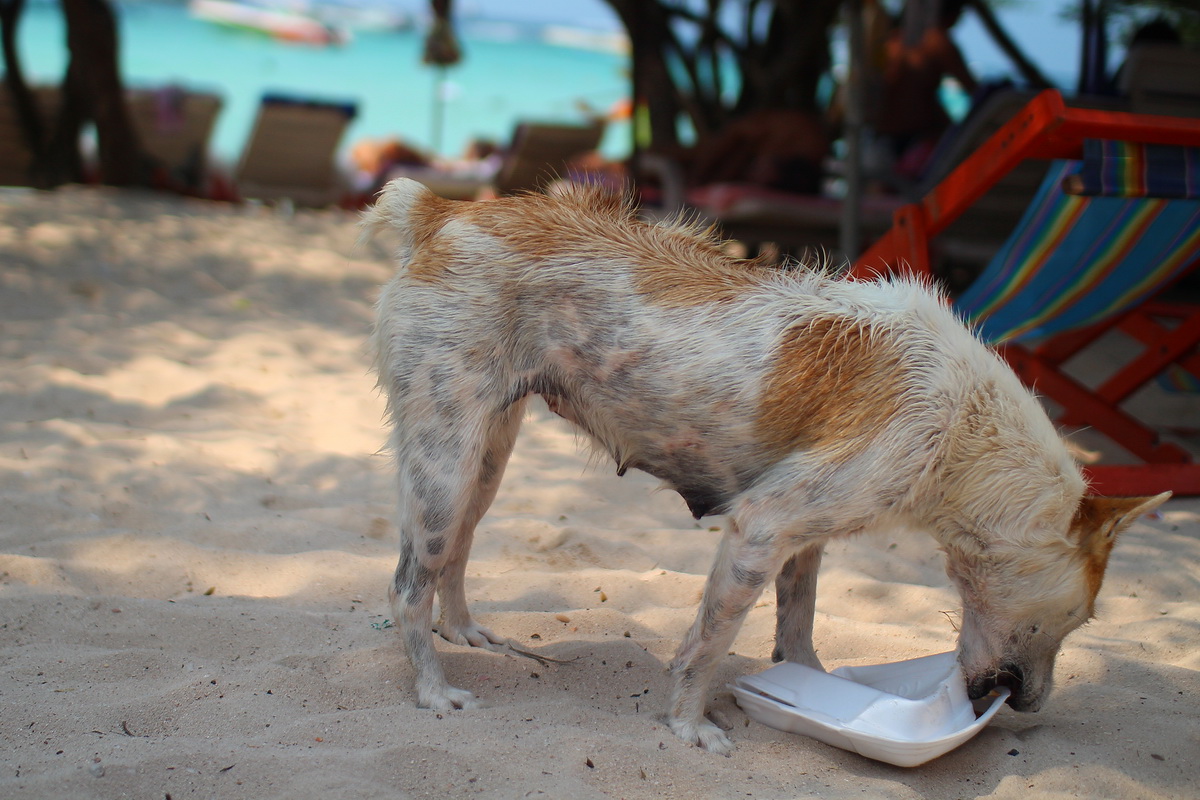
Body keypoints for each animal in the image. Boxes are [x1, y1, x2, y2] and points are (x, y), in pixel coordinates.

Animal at [362, 179, 1161, 758]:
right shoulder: (760, 530)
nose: (1031, 708)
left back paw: (466, 632)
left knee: (453, 557)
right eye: (1078, 619)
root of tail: (444, 212)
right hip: (444, 465)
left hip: (483, 462)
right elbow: (707, 643)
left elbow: (798, 631)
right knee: (406, 587)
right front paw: (689, 726)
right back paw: (433, 692)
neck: (966, 425)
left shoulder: (804, 539)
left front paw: (808, 689)